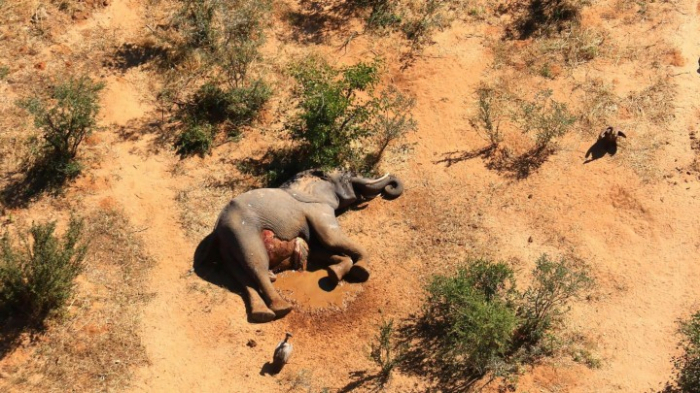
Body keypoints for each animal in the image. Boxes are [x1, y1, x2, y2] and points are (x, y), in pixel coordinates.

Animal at [209, 168, 404, 322]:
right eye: (349, 175)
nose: (388, 188)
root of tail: (217, 230)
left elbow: (317, 250)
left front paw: (334, 273)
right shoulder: (318, 208)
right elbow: (331, 238)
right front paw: (361, 270)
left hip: (227, 246)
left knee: (242, 278)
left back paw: (262, 314)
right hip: (242, 232)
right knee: (257, 267)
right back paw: (282, 308)